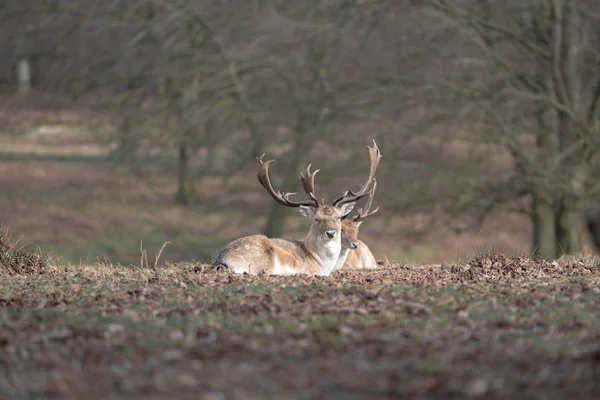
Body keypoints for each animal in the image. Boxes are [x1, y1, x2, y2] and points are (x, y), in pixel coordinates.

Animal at [211, 148, 378, 276]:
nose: (331, 233)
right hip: (263, 261)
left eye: (338, 217)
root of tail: (221, 259)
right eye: (316, 219)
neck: (322, 264)